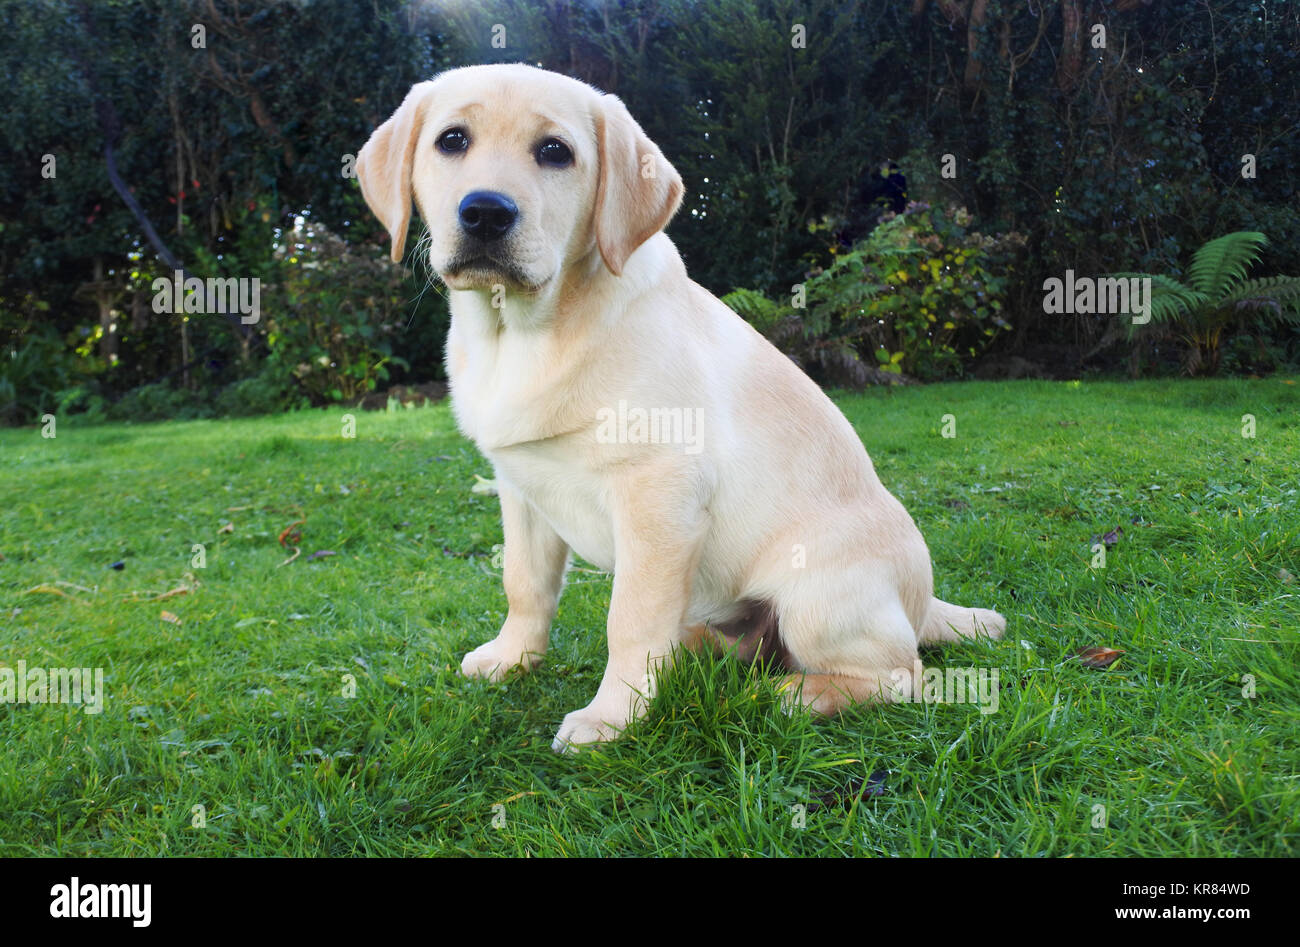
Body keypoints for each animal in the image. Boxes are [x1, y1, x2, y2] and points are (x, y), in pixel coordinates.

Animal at [356, 62, 1003, 749]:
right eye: (451, 141)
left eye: (555, 152)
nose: (484, 212)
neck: (523, 333)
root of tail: (923, 604)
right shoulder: (520, 487)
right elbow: (525, 584)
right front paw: (512, 659)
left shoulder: (658, 495)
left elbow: (631, 619)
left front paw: (611, 718)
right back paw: (698, 650)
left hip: (817, 597)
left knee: (902, 675)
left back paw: (794, 694)